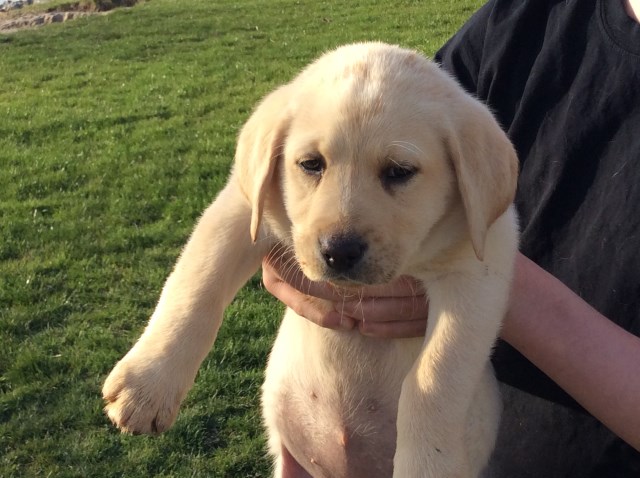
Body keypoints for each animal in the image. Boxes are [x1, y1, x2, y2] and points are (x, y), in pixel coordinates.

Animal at [101, 43, 520, 476]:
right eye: (311, 164)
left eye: (399, 171)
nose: (339, 251)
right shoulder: (242, 208)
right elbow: (196, 286)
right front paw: (147, 384)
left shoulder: (479, 268)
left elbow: (436, 375)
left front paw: (428, 464)